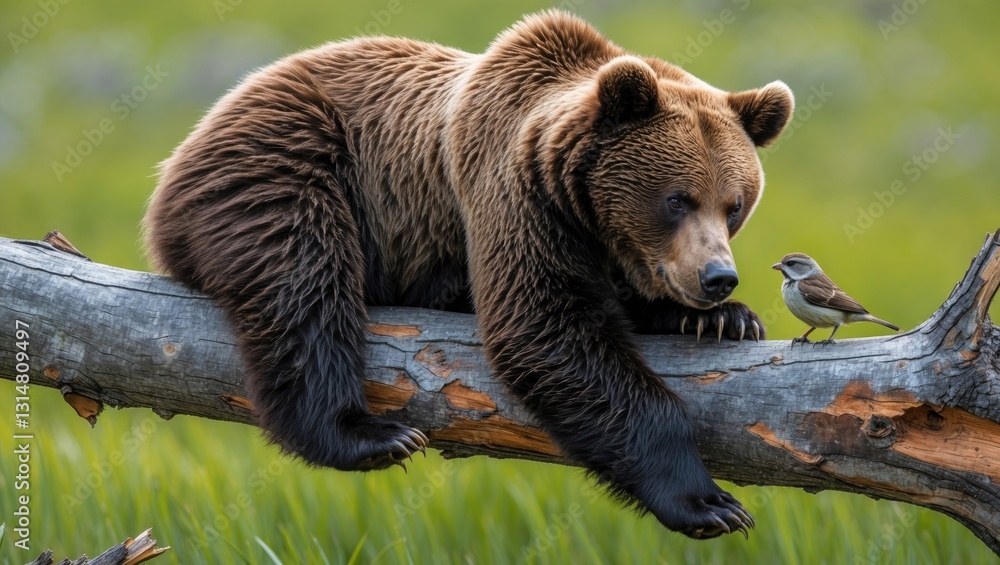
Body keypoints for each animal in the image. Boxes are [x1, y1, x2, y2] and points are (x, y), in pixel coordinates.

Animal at [144, 10, 792, 539]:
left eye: (734, 204)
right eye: (677, 200)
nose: (717, 278)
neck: (583, 209)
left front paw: (726, 321)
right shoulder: (512, 193)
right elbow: (545, 328)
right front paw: (708, 503)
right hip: (288, 162)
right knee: (304, 289)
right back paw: (368, 434)